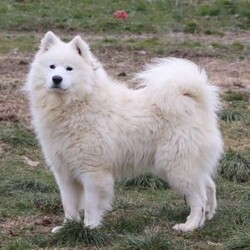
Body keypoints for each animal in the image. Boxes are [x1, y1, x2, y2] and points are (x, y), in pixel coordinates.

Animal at [25, 31, 224, 232]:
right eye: (52, 67)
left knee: (198, 198)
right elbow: (69, 203)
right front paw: (68, 227)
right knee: (208, 185)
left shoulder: (93, 170)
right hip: (175, 165)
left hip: (177, 166)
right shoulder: (64, 172)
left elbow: (91, 204)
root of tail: (193, 98)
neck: (76, 103)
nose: (56, 79)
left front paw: (89, 228)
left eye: (69, 69)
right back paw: (207, 216)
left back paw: (189, 225)